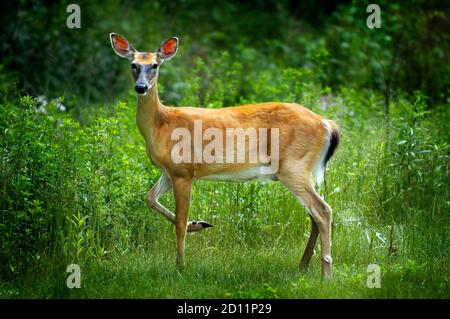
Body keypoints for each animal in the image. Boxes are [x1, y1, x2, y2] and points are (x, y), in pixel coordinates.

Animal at [110, 31, 340, 278]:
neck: (160, 124)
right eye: (133, 65)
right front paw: (198, 224)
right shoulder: (169, 172)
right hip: (302, 169)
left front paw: (180, 266)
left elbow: (179, 221)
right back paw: (303, 265)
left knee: (323, 211)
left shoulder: (183, 171)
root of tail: (327, 124)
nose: (141, 87)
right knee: (315, 214)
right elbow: (150, 198)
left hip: (293, 166)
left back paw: (326, 274)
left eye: (155, 65)